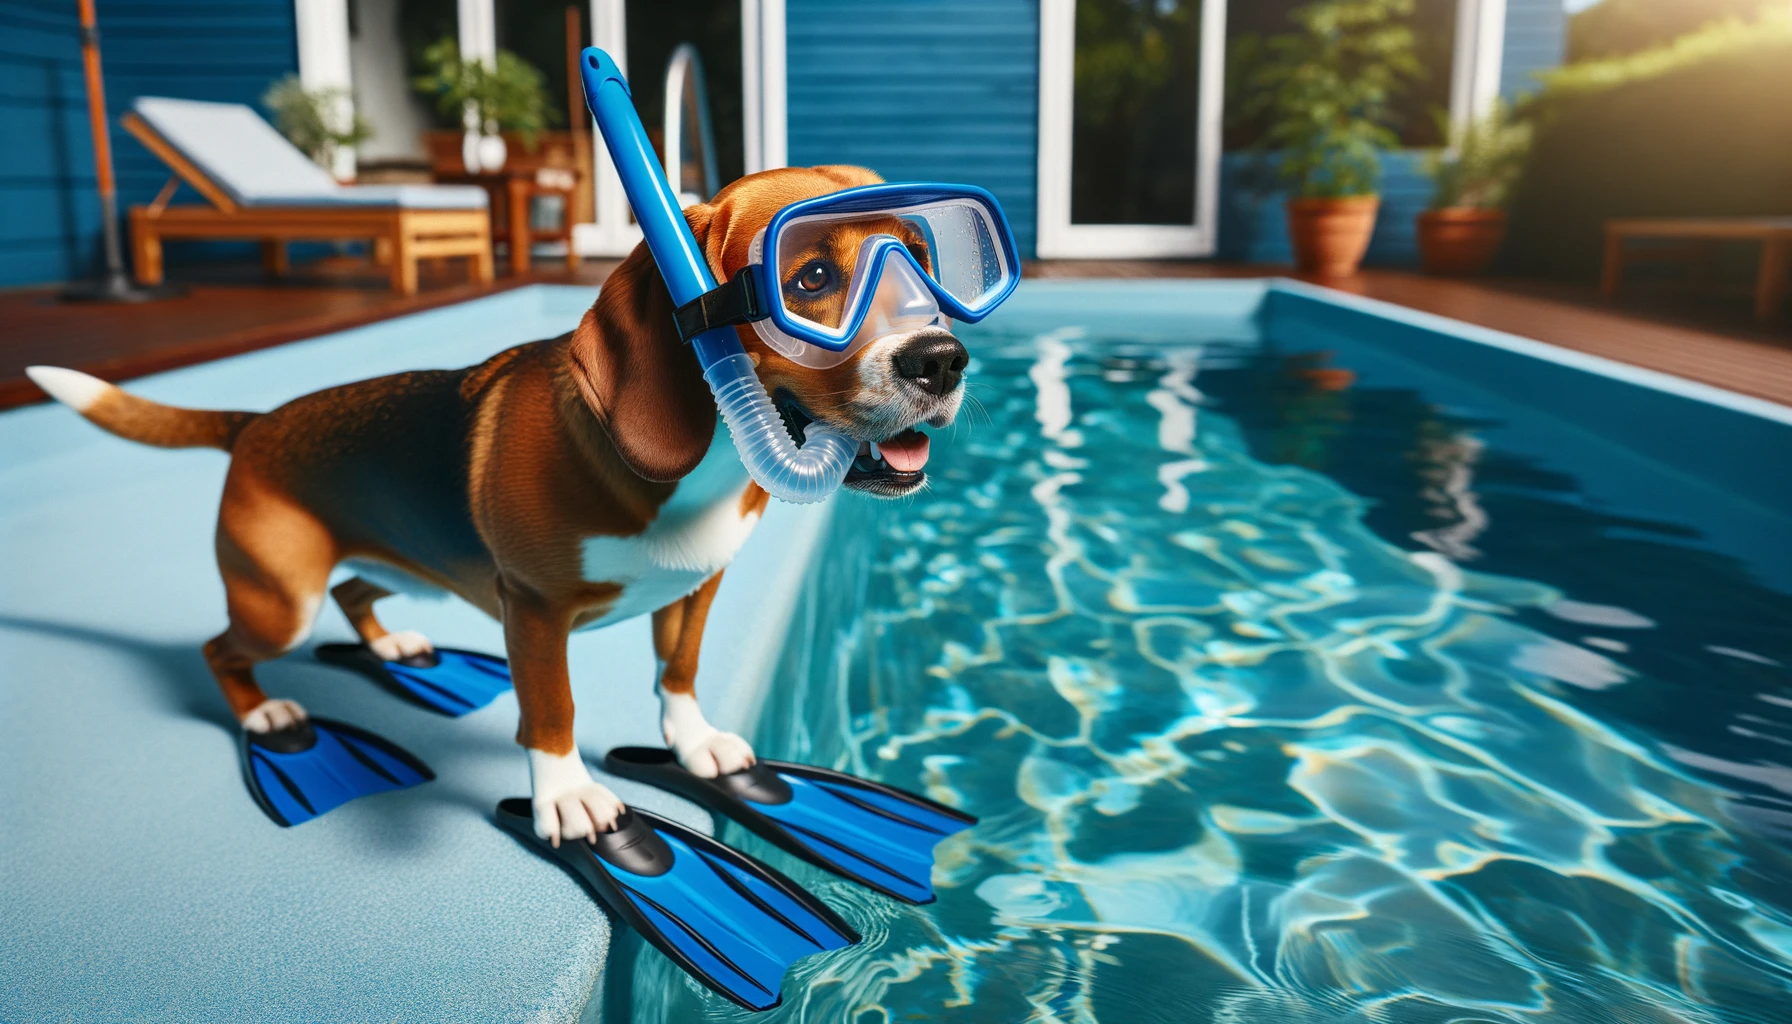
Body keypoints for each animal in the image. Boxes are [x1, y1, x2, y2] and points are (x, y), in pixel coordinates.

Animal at [28, 164, 967, 846]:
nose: (943, 359)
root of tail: (258, 422)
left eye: (925, 261)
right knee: (220, 648)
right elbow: (552, 712)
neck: (698, 463)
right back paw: (264, 710)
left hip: (391, 563)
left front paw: (696, 746)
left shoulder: (699, 586)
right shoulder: (536, 613)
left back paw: (395, 646)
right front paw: (570, 797)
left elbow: (680, 671)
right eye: (809, 277)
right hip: (278, 602)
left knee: (356, 590)